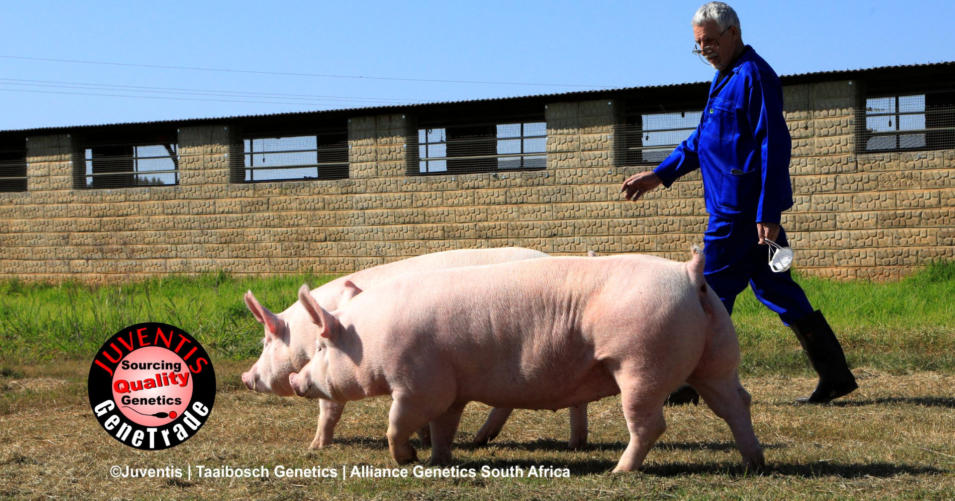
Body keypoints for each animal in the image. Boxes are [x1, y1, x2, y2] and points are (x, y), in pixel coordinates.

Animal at [241, 247, 589, 450]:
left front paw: (315, 447)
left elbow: (329, 407)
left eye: (266, 342)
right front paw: (424, 438)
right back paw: (570, 443)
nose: (245, 377)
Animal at [289, 249, 764, 472]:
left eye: (322, 348)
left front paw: (405, 459)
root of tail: (690, 273)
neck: (372, 339)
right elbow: (444, 426)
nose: (296, 380)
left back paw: (618, 471)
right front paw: (440, 460)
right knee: (737, 404)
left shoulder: (419, 382)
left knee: (651, 424)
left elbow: (397, 420)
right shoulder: (451, 389)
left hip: (640, 364)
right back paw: (753, 463)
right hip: (718, 357)